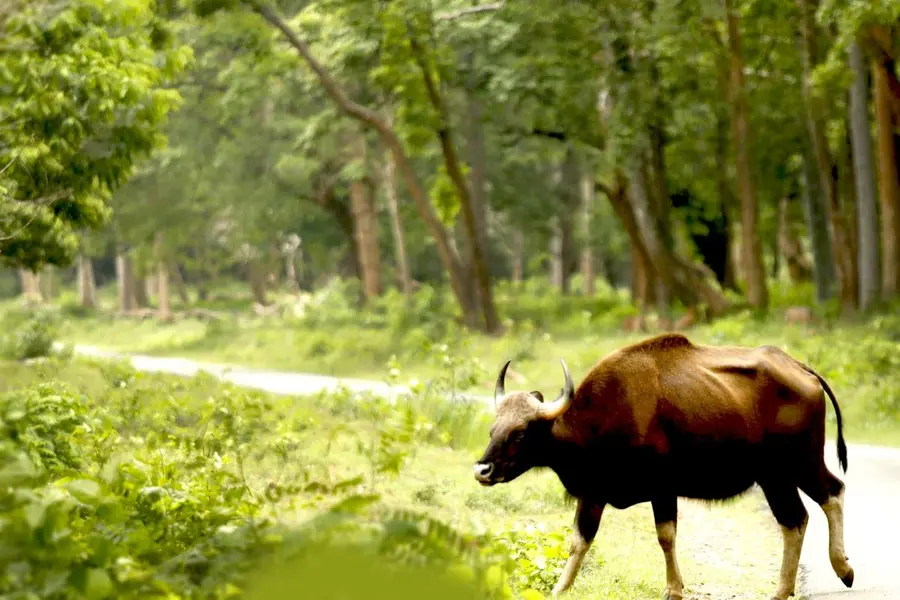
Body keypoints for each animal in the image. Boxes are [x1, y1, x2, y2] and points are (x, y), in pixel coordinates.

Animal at [473, 333, 852, 599]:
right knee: (798, 518)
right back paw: (785, 588)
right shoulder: (594, 492)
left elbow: (665, 536)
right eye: (493, 429)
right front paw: (559, 589)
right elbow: (579, 541)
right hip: (775, 476)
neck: (601, 418)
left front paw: (673, 589)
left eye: (520, 432)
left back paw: (841, 569)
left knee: (830, 494)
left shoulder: (662, 488)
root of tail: (800, 368)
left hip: (798, 463)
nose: (482, 470)